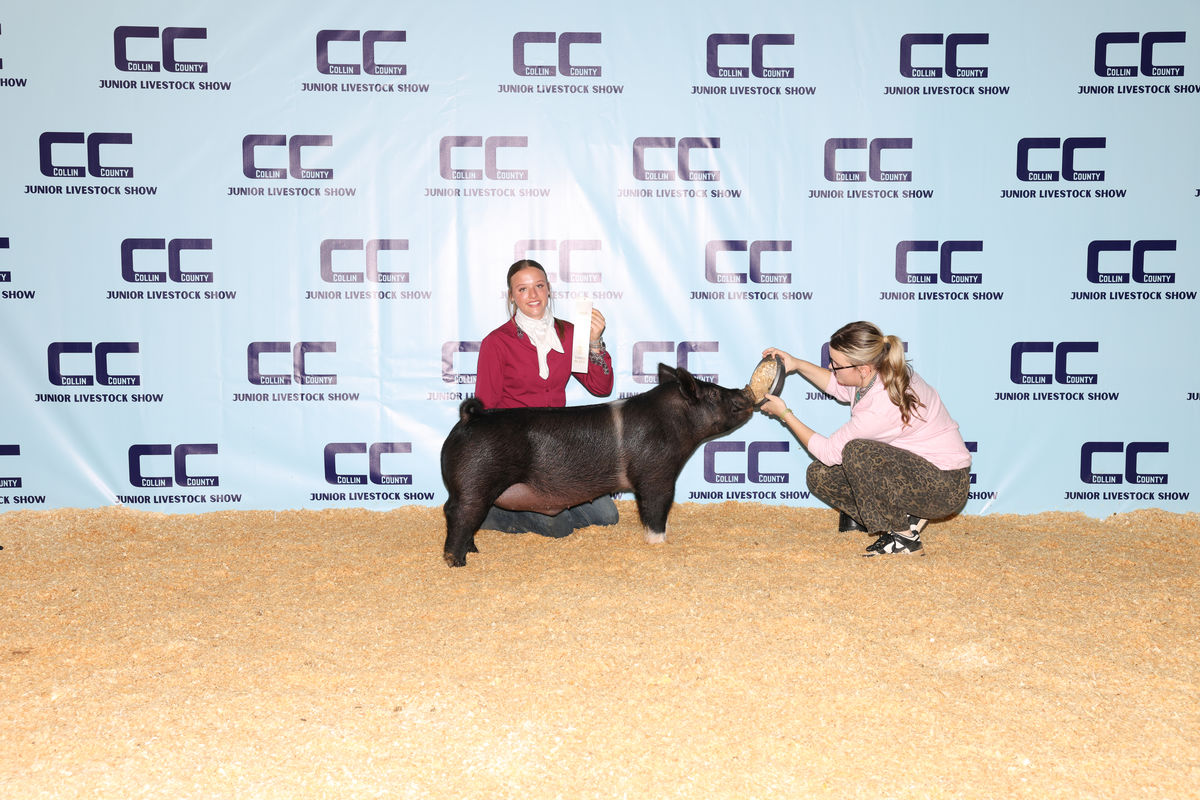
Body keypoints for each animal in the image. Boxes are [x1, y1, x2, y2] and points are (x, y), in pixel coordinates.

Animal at [439, 363, 755, 567]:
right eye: (713, 394)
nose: (745, 393)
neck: (673, 425)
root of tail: (470, 417)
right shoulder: (656, 476)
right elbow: (656, 511)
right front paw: (658, 544)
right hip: (475, 481)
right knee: (458, 515)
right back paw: (457, 562)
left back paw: (474, 551)